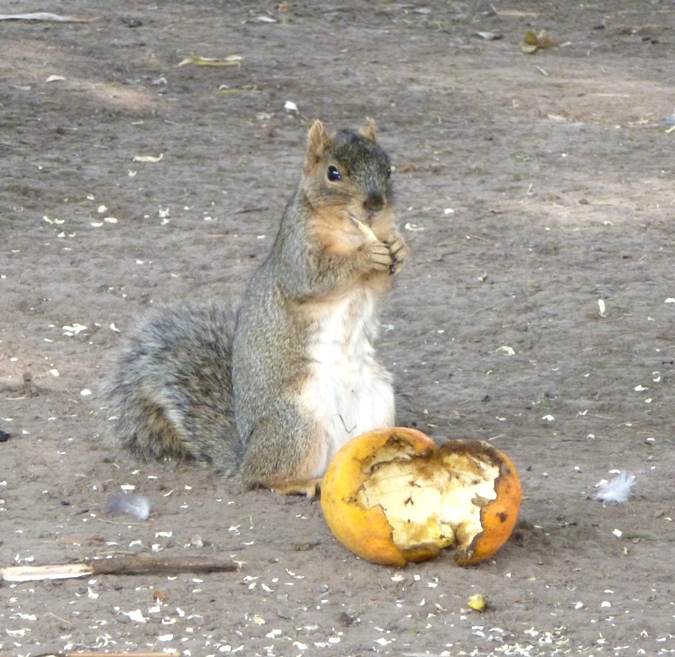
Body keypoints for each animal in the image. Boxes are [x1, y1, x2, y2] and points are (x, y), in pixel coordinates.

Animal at [105, 119, 410, 498]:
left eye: (388, 168)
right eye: (333, 173)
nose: (374, 204)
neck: (351, 230)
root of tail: (245, 455)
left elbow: (382, 284)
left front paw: (399, 246)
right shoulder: (297, 254)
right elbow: (316, 277)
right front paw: (366, 255)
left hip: (377, 403)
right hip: (297, 419)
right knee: (264, 477)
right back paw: (301, 482)